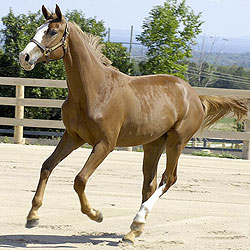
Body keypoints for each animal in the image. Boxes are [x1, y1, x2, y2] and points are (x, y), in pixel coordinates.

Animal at [19, 5, 246, 244]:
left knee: (168, 179)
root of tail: (195, 96)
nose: (24, 57)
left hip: (177, 141)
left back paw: (137, 222)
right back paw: (133, 230)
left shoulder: (105, 144)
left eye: (52, 31)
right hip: (154, 144)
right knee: (150, 184)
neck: (94, 90)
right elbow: (47, 166)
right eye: (38, 29)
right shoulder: (73, 137)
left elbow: (80, 179)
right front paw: (32, 216)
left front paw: (96, 214)